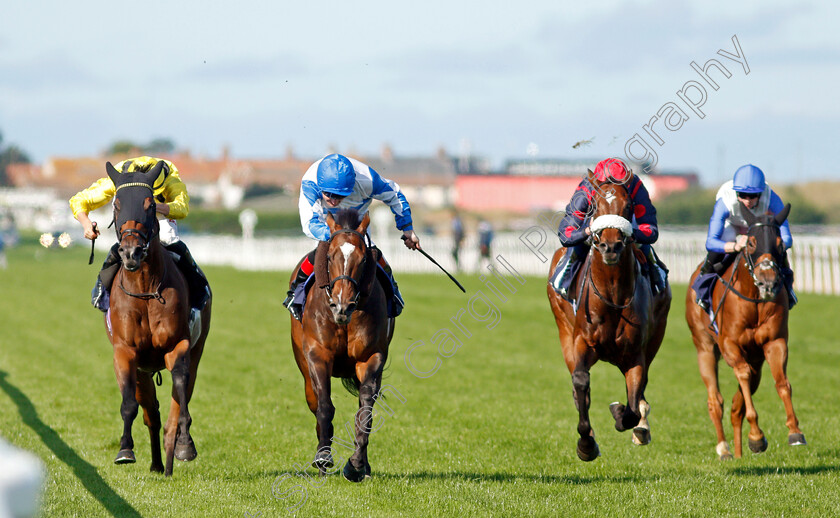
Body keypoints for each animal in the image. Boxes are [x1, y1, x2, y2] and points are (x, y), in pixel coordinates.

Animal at [103, 164, 212, 480]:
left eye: (150, 205)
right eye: (116, 204)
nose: (131, 252)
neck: (145, 289)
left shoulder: (179, 345)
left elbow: (181, 393)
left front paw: (185, 444)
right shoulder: (125, 352)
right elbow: (130, 404)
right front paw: (125, 450)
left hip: (197, 350)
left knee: (176, 400)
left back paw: (171, 458)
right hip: (142, 370)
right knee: (150, 412)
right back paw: (156, 463)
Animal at [288, 208, 394, 484]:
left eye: (362, 258)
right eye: (331, 256)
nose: (341, 306)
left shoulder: (372, 356)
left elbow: (365, 410)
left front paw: (356, 465)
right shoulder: (317, 354)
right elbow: (325, 405)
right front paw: (323, 457)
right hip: (303, 364)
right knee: (314, 401)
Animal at [548, 171, 672, 464]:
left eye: (628, 207)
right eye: (594, 207)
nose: (611, 246)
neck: (612, 296)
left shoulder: (635, 353)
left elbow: (633, 403)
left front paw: (623, 415)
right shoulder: (581, 341)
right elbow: (581, 382)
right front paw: (586, 444)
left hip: (656, 336)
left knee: (641, 393)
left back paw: (641, 428)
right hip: (563, 331)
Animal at [684, 205, 804, 462]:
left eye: (780, 244)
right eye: (750, 243)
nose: (768, 283)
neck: (754, 299)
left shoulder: (774, 342)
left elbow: (782, 383)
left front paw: (794, 431)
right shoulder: (729, 344)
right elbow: (742, 374)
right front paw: (757, 436)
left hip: (756, 359)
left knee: (735, 406)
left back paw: (739, 451)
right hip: (704, 347)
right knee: (715, 401)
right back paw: (724, 448)